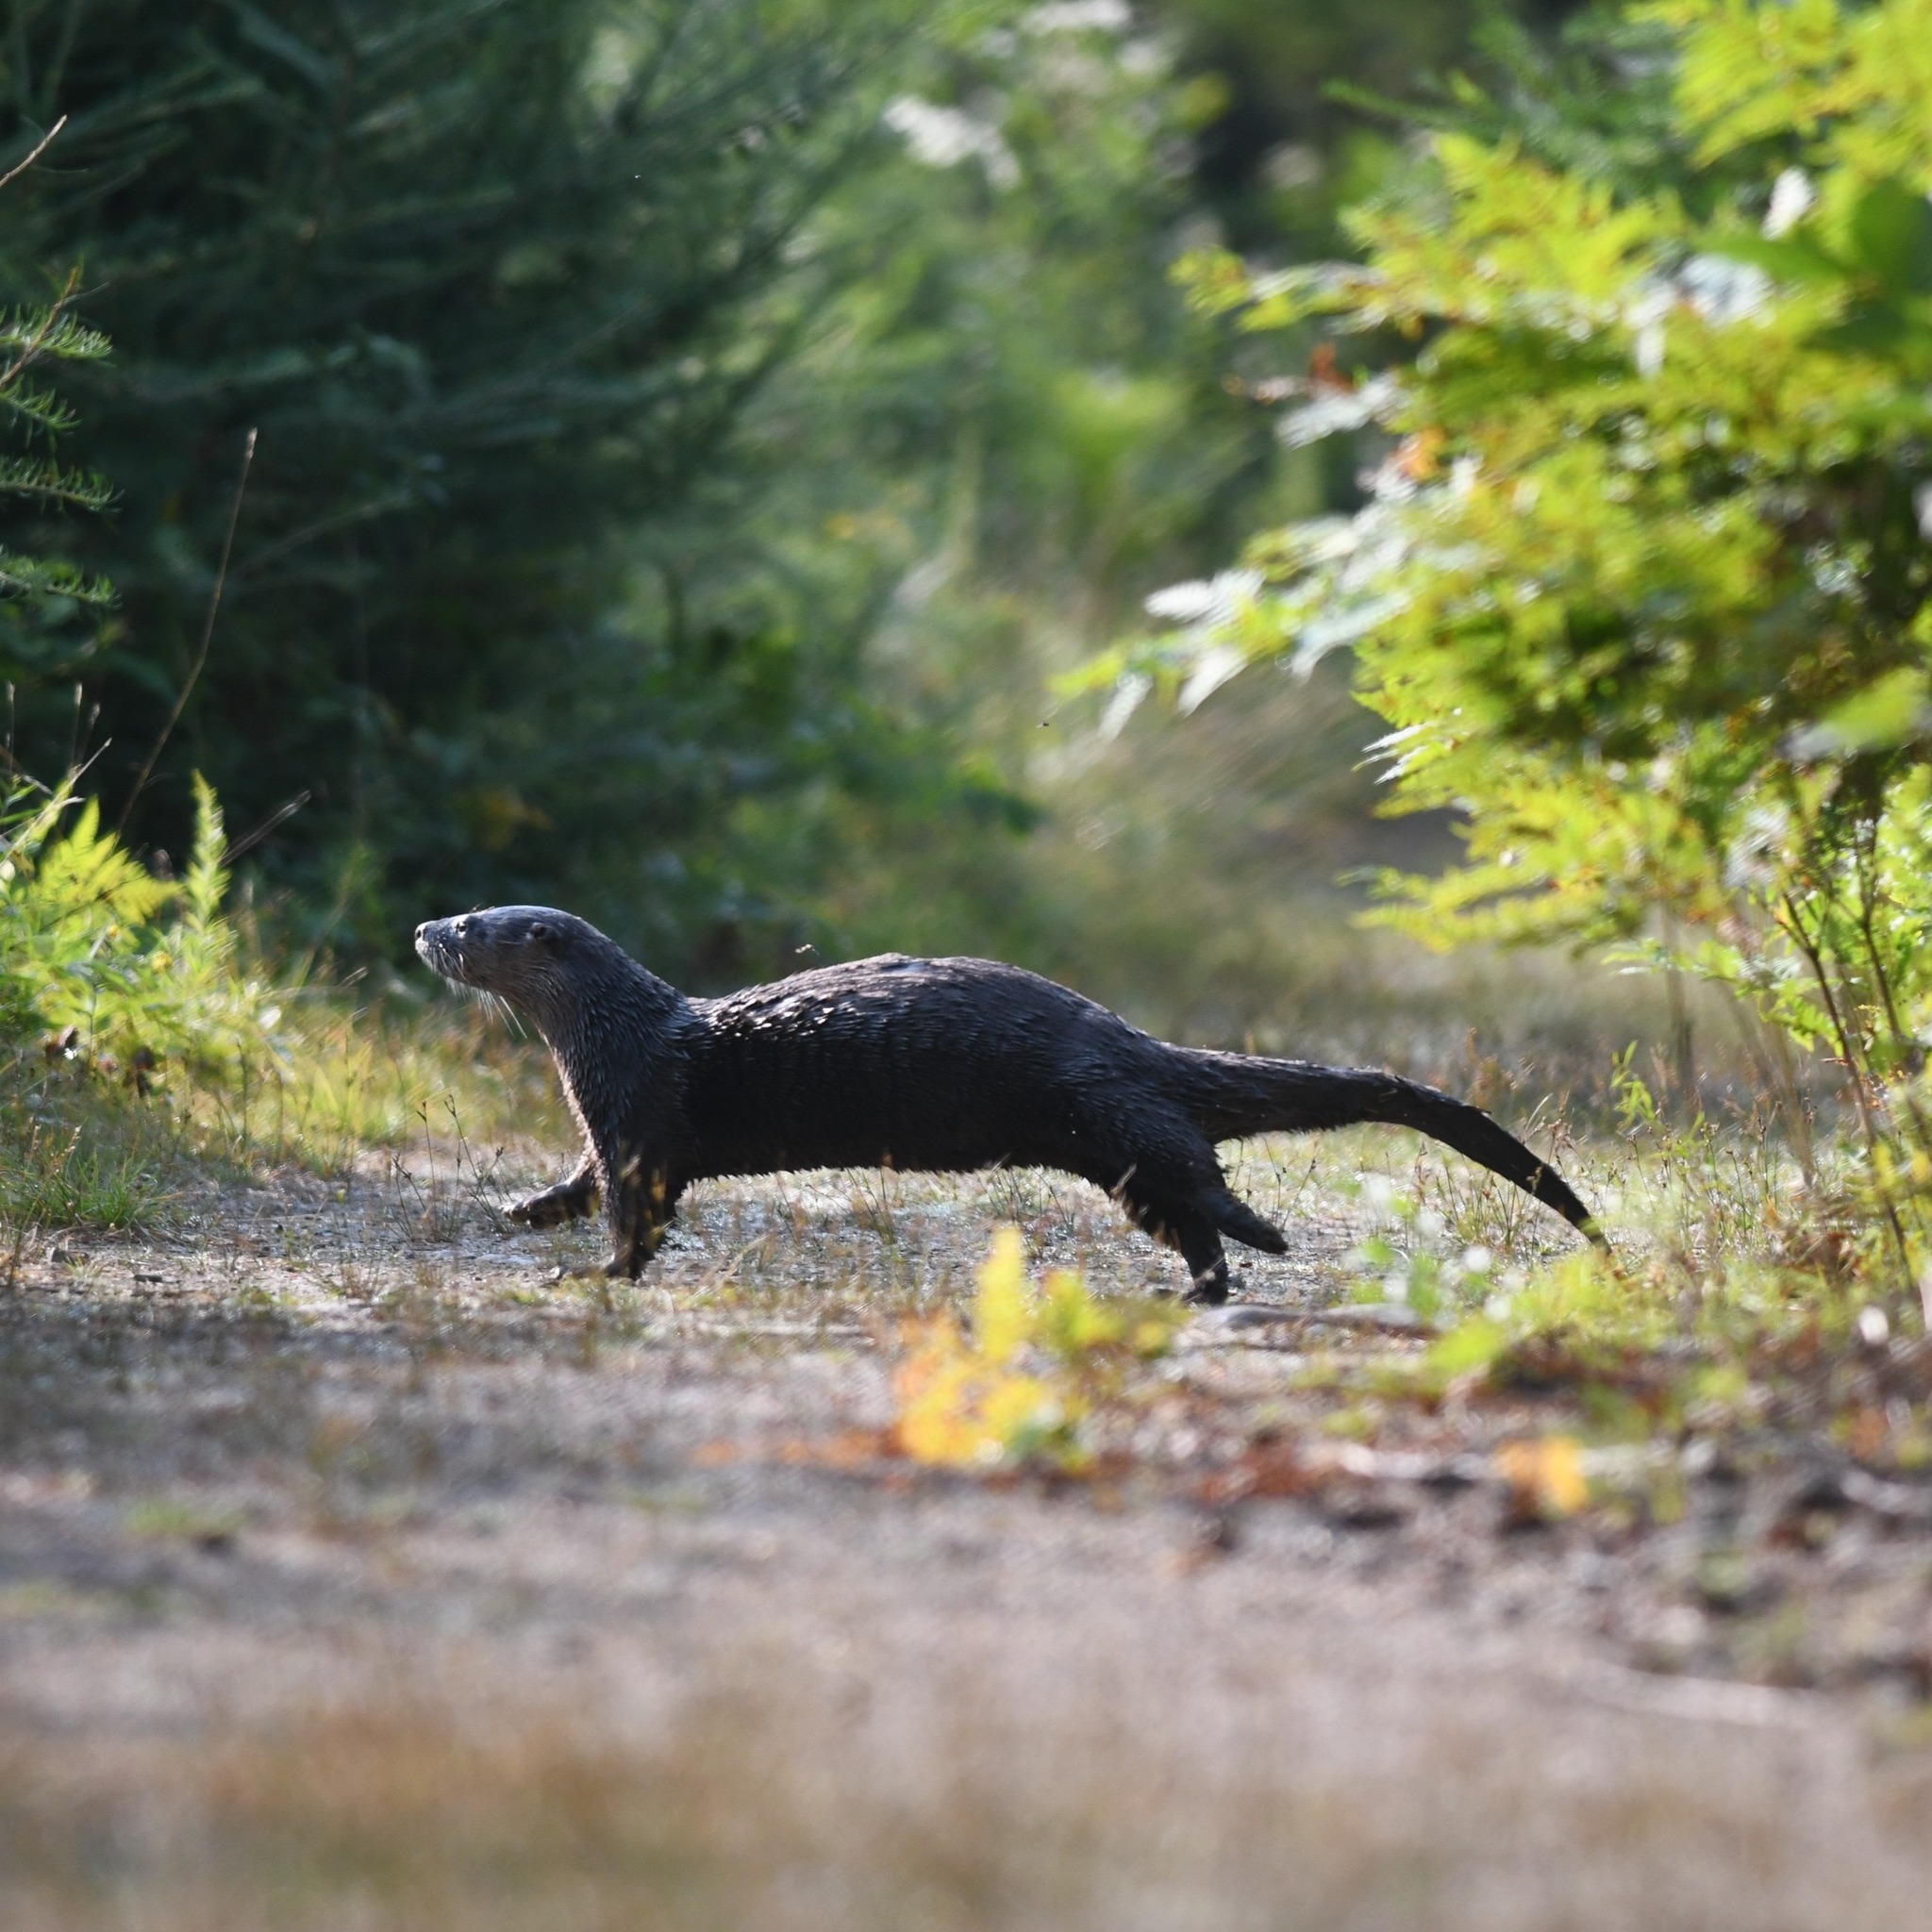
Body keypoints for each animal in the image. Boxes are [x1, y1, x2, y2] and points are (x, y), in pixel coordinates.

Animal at [419, 900, 1599, 1298]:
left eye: (474, 923)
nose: (424, 927)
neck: (613, 1036)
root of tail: (1127, 1034)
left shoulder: (640, 1117)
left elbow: (638, 1212)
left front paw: (599, 1276)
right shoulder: (603, 1124)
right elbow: (580, 1182)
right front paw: (526, 1209)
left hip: (1107, 1103)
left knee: (1205, 1185)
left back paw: (1258, 1240)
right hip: (1114, 1148)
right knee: (1183, 1207)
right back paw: (1199, 1287)